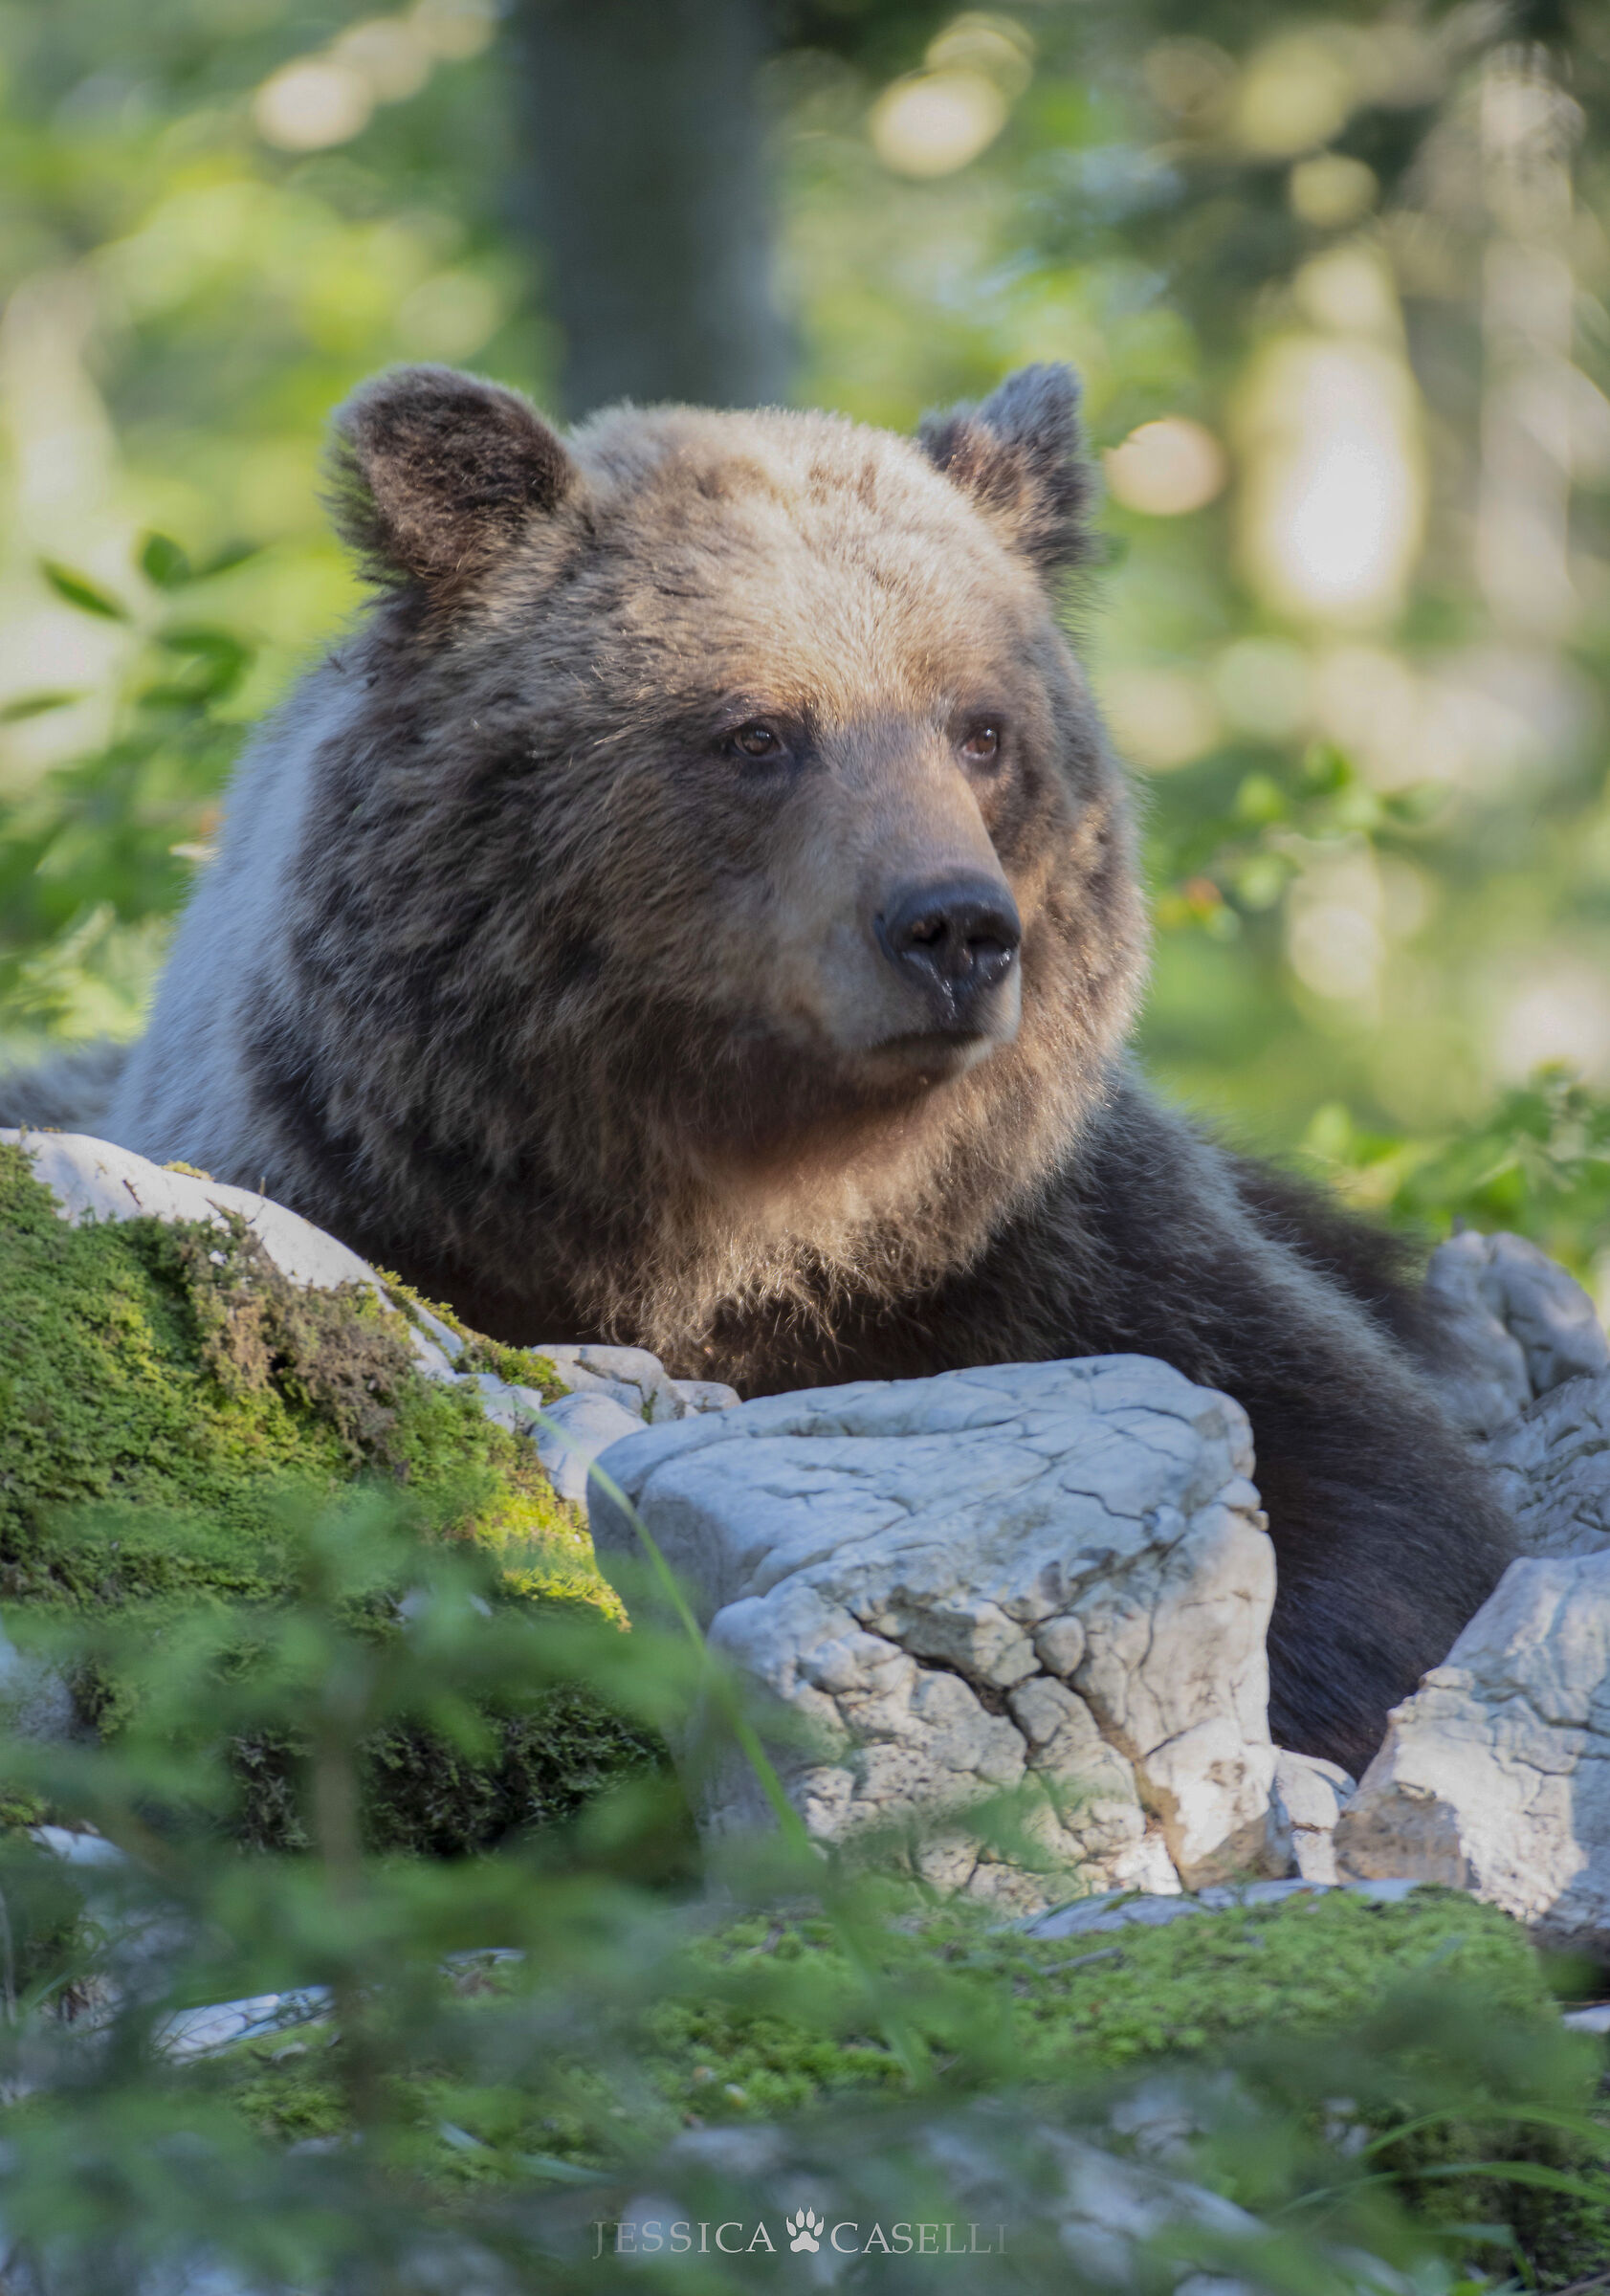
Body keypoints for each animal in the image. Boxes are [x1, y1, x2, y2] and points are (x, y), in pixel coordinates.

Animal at [3, 361, 1510, 1778]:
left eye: (979, 726)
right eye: (758, 732)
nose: (954, 928)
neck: (736, 1211)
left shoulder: (1023, 1248)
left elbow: (1369, 1478)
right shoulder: (362, 1198)